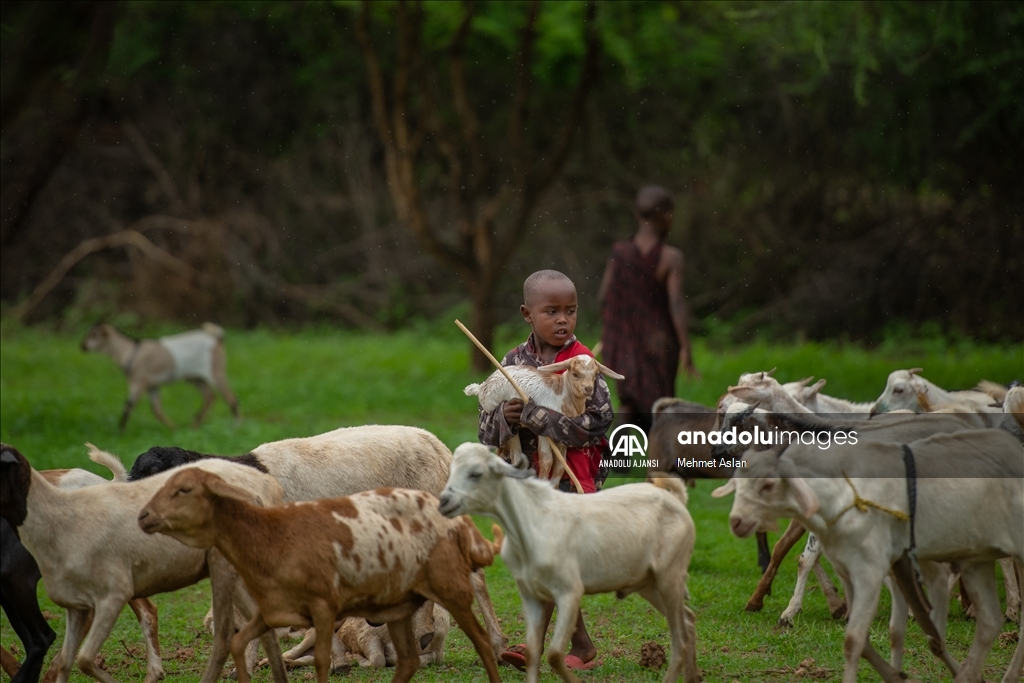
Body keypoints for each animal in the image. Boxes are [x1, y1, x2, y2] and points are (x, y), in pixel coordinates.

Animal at [80, 323, 238, 430]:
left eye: (94, 335)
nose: (83, 346)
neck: (130, 350)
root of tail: (217, 339)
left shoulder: (139, 380)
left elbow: (129, 405)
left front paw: (120, 431)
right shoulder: (153, 385)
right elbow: (156, 409)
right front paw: (173, 428)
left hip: (215, 371)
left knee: (230, 397)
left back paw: (235, 425)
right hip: (195, 377)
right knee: (209, 396)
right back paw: (195, 424)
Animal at [436, 444, 700, 683]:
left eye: (476, 473)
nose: (444, 502)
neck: (532, 521)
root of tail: (676, 499)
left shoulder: (569, 592)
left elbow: (554, 654)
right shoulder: (531, 595)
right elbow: (534, 652)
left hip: (670, 576)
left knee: (680, 637)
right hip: (649, 583)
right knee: (688, 621)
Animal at [464, 356, 622, 479]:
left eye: (595, 375)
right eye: (575, 374)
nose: (588, 389)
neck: (564, 393)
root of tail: (482, 386)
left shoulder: (564, 435)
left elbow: (560, 466)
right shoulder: (544, 433)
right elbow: (547, 461)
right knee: (512, 454)